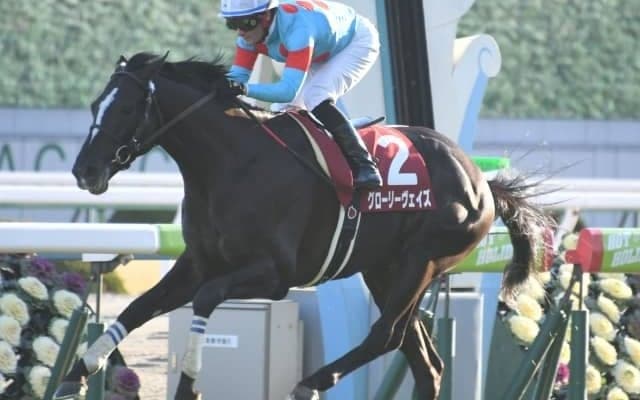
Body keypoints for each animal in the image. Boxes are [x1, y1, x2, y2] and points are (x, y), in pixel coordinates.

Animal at [57, 52, 553, 400]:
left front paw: (189, 384)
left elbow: (207, 298)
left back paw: (312, 380)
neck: (231, 164)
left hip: (422, 261)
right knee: (424, 361)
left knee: (386, 335)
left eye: (125, 110)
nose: (84, 171)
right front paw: (75, 375)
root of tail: (481, 181)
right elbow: (137, 307)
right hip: (384, 270)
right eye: (94, 105)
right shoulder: (197, 263)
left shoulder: (274, 274)